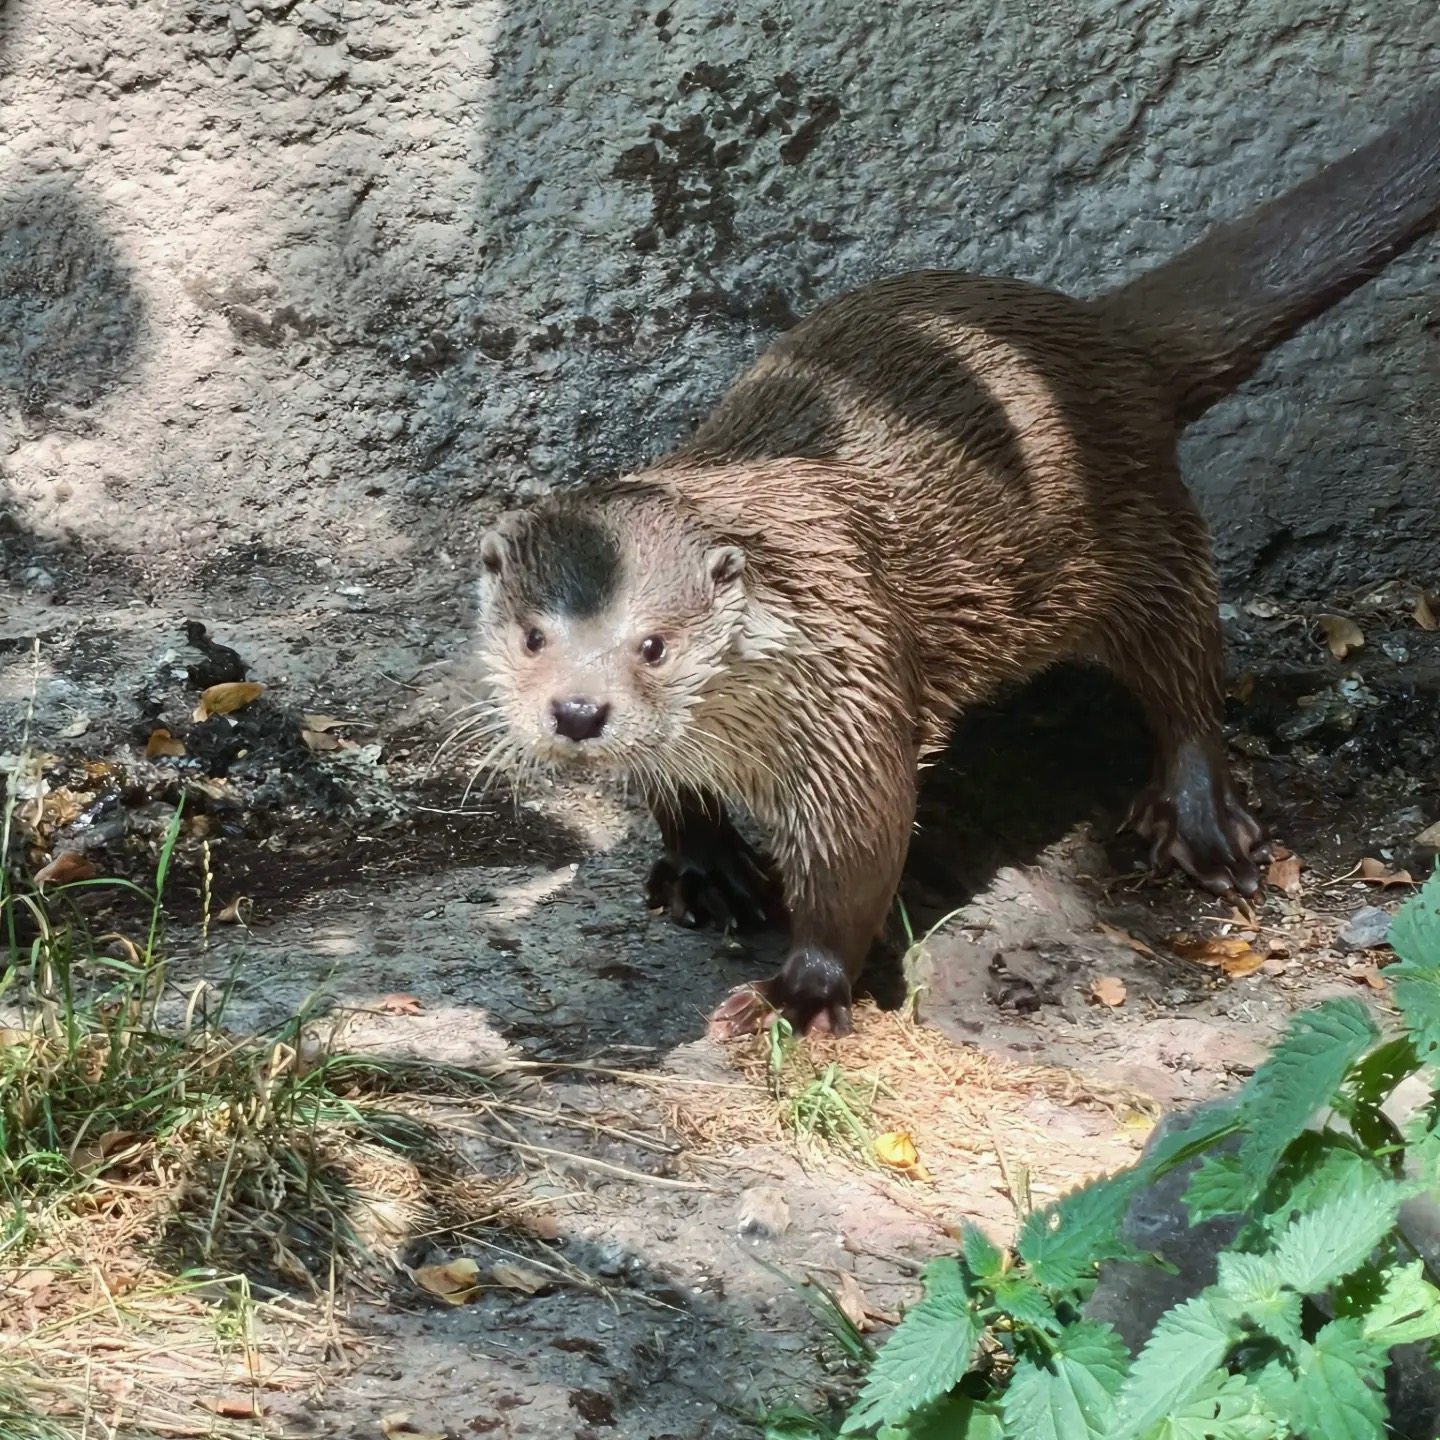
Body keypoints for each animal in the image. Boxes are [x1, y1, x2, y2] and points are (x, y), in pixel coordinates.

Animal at [472, 92, 1440, 1039]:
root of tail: (1102, 336)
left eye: (654, 646)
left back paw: (1200, 826)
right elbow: (673, 795)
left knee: (1188, 676)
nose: (578, 711)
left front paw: (800, 994)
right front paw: (708, 868)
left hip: (1144, 534)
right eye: (532, 637)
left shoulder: (849, 698)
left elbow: (857, 859)